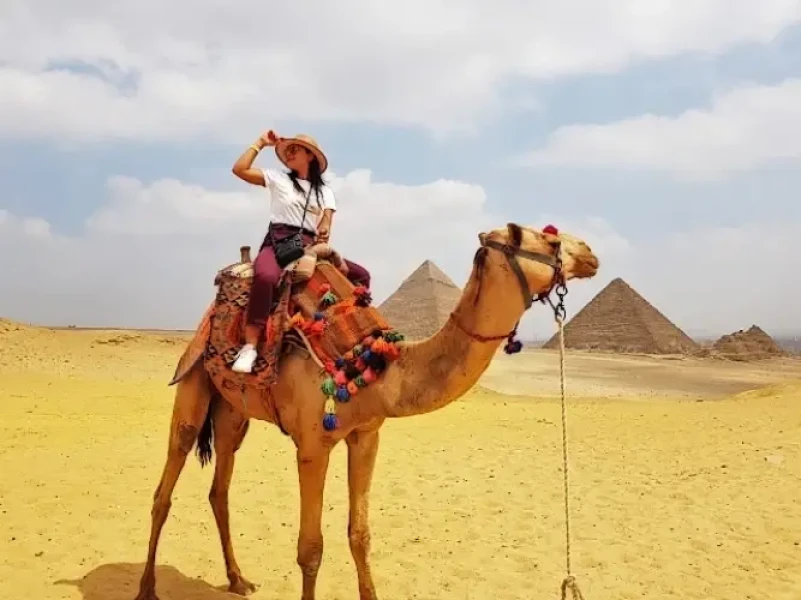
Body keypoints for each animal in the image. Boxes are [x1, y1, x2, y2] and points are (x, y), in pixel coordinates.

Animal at [133, 222, 600, 600]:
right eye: (551, 240)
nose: (591, 254)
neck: (378, 365)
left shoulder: (366, 436)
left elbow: (359, 534)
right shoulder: (312, 445)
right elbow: (310, 549)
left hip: (234, 413)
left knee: (220, 490)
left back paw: (237, 579)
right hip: (193, 385)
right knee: (164, 490)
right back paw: (147, 588)